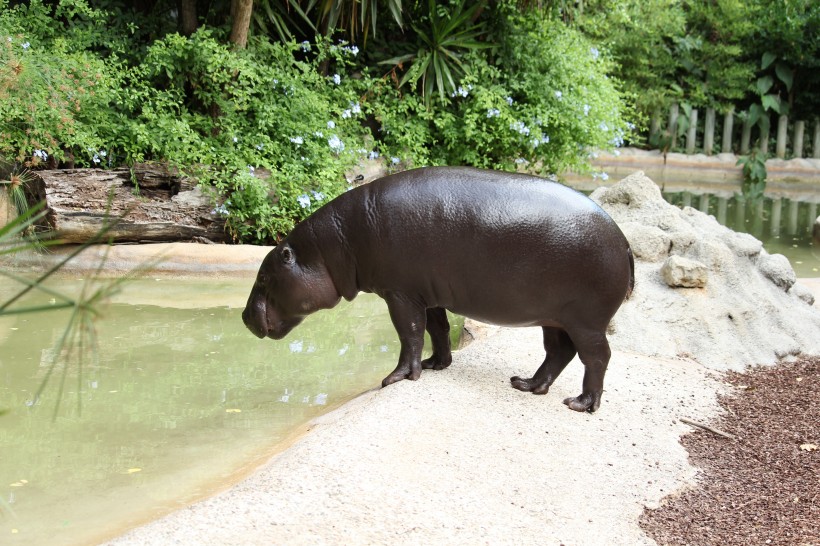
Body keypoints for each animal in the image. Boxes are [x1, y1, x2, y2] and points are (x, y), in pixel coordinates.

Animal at [243, 167, 636, 412]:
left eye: (263, 277)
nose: (244, 316)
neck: (333, 246)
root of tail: (626, 244)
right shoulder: (425, 293)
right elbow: (436, 328)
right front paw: (437, 365)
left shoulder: (400, 293)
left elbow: (409, 333)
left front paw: (398, 378)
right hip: (554, 318)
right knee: (558, 353)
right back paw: (527, 385)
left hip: (587, 321)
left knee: (597, 357)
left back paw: (581, 404)